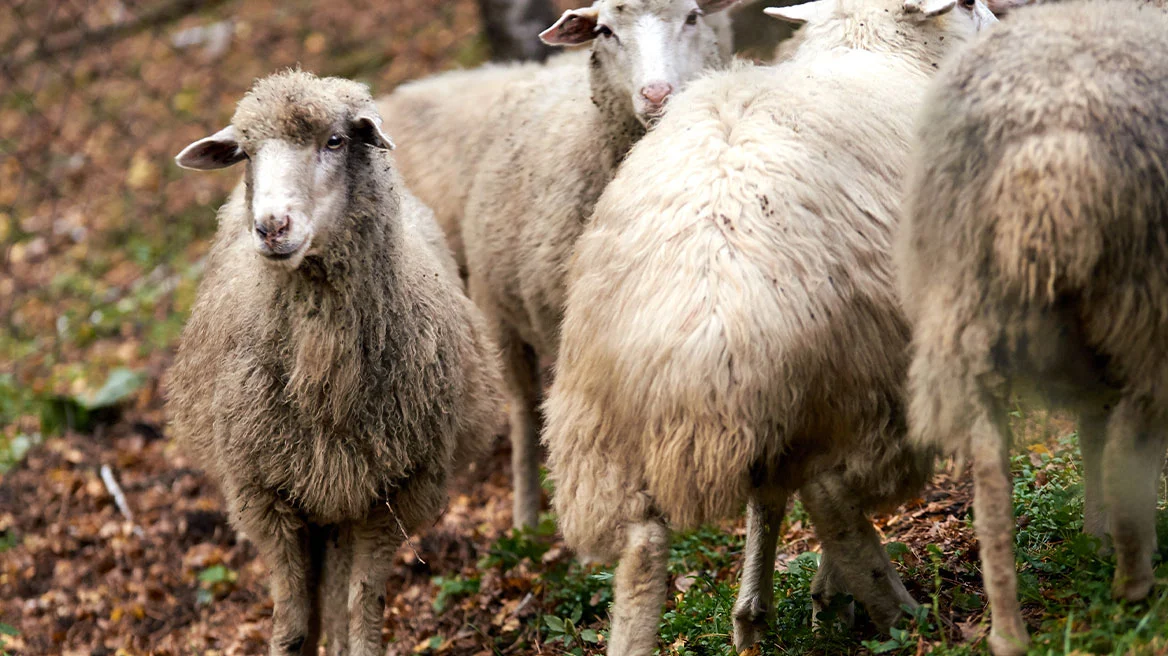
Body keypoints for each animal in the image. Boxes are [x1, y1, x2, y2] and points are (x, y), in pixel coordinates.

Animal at [165, 70, 506, 653]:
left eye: (335, 141)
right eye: (246, 153)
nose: (272, 227)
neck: (323, 379)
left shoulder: (391, 494)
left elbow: (363, 608)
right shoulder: (265, 495)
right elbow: (293, 620)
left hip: (342, 494)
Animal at [462, 0, 738, 525]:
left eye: (693, 16)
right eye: (606, 31)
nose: (656, 94)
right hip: (499, 315)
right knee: (524, 411)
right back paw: (526, 520)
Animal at [541, 0, 999, 648]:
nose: (999, 23)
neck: (877, 52)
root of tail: (702, 330)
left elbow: (765, 500)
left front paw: (755, 613)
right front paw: (818, 601)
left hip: (600, 428)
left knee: (642, 550)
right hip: (861, 368)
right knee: (833, 492)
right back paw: (899, 616)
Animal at [892, 2, 1168, 648]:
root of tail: (1050, 151)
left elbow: (1091, 429)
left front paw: (1092, 534)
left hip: (966, 300)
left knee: (992, 477)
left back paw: (1009, 633)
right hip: (1145, 290)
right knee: (1133, 439)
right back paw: (1134, 583)